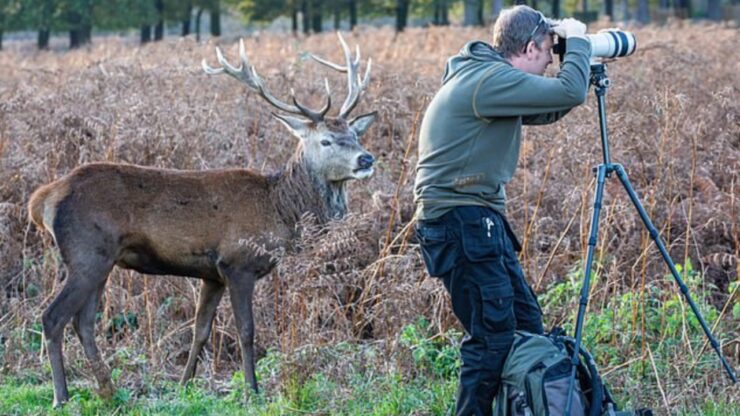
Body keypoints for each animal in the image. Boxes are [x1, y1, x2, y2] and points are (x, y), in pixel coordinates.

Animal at [27, 31, 376, 406]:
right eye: (326, 140)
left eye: (355, 136)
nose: (366, 159)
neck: (280, 210)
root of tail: (43, 198)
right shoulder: (238, 263)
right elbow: (246, 331)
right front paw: (252, 390)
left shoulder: (212, 274)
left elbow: (201, 330)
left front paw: (184, 385)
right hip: (86, 253)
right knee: (53, 317)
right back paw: (61, 396)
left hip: (101, 260)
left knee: (84, 323)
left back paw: (108, 391)